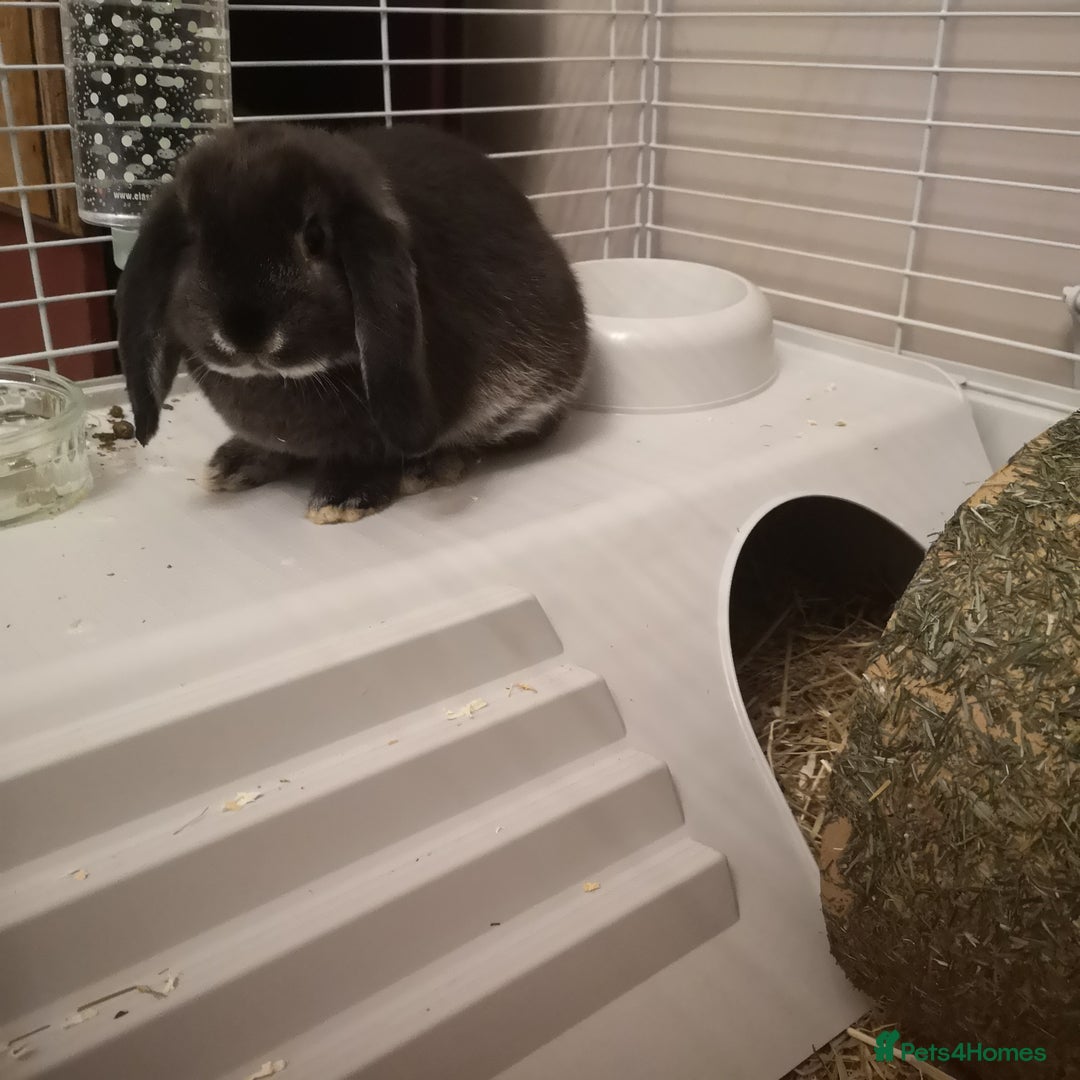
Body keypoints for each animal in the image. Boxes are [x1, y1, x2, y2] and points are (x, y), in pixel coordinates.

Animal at [116, 122, 589, 523]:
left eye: (315, 237)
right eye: (194, 240)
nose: (246, 335)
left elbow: (377, 453)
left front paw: (344, 498)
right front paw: (237, 463)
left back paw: (428, 467)